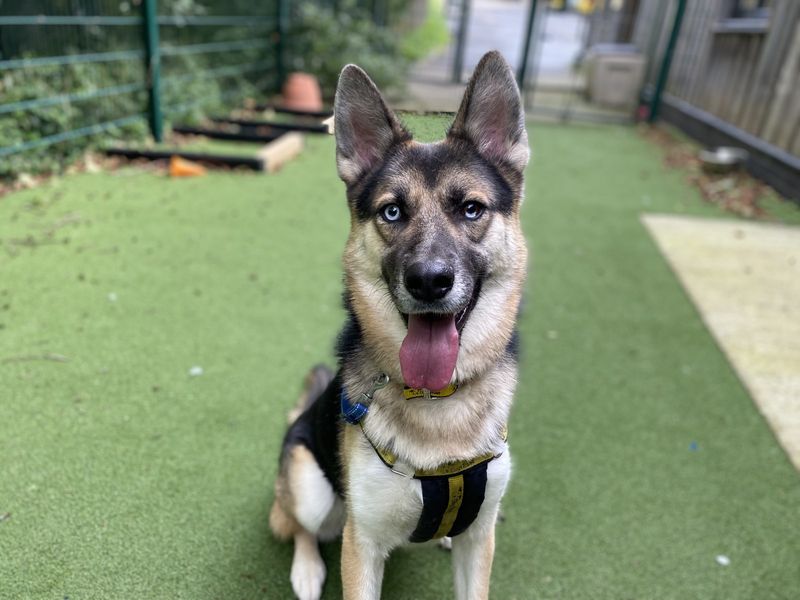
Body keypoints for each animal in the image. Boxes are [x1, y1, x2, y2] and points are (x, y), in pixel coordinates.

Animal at [270, 51, 532, 600]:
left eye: (471, 209)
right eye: (392, 212)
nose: (429, 281)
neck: (438, 401)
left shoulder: (481, 540)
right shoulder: (361, 543)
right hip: (308, 486)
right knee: (300, 525)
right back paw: (306, 569)